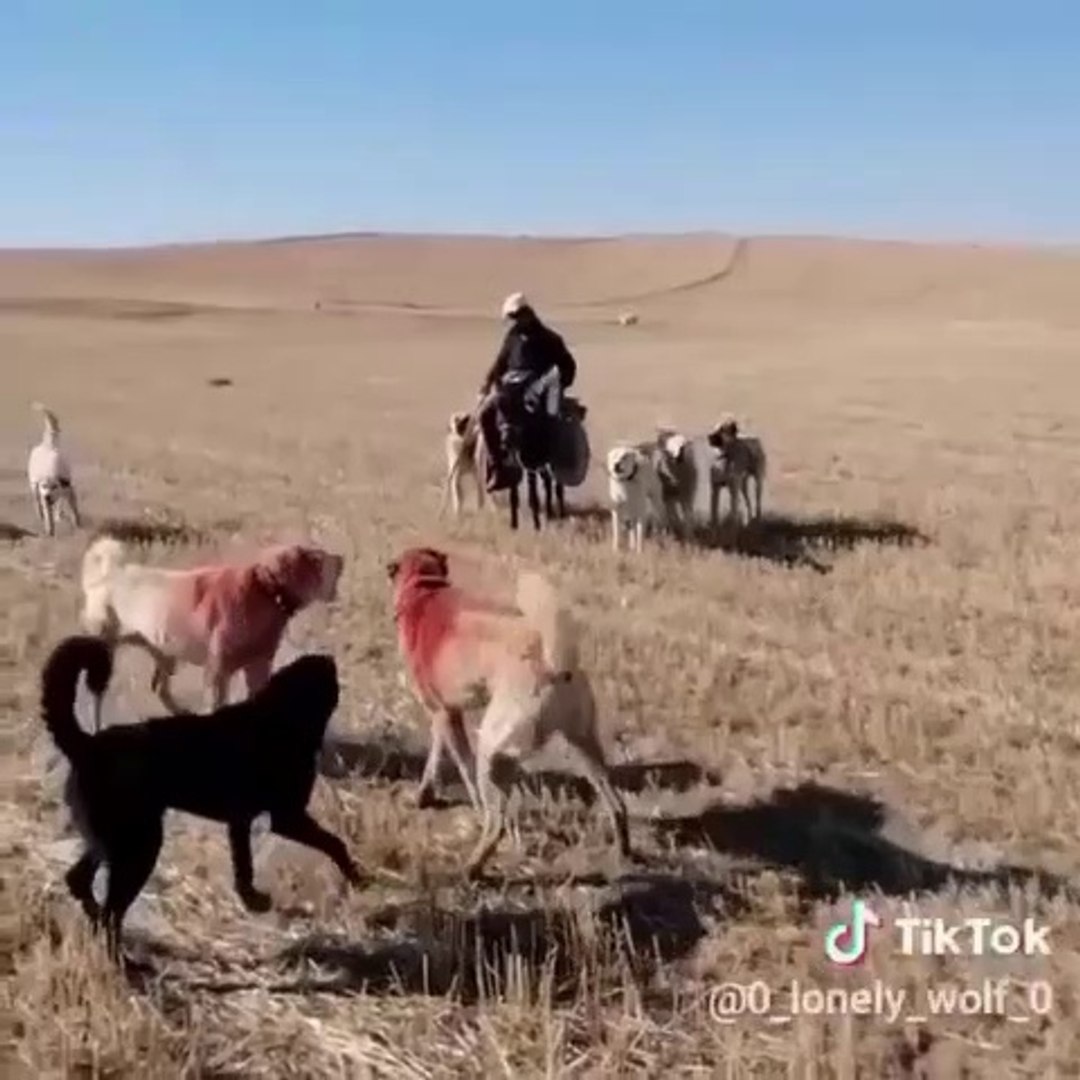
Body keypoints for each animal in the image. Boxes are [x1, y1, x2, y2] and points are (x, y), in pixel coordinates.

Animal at [27, 403, 81, 537]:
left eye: (54, 486)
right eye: (44, 486)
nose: (47, 496)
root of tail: (47, 444)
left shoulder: (69, 490)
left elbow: (74, 510)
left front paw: (77, 523)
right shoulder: (43, 494)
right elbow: (49, 517)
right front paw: (50, 530)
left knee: (59, 503)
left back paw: (59, 513)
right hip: (33, 486)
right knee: (37, 501)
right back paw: (41, 513)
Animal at [41, 635, 362, 959]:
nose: (328, 660)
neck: (279, 717)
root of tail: (86, 745)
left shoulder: (242, 820)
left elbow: (244, 865)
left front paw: (252, 900)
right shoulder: (286, 816)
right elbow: (334, 843)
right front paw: (357, 877)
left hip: (113, 839)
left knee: (79, 882)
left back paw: (98, 926)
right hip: (137, 845)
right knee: (111, 911)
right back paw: (119, 957)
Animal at [82, 531, 343, 725]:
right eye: (316, 558)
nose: (342, 559)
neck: (264, 591)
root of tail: (109, 573)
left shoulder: (257, 666)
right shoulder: (217, 672)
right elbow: (215, 705)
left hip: (166, 652)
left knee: (159, 688)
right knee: (96, 699)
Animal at [386, 548, 630, 876]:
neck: (425, 591)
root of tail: (552, 664)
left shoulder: (446, 716)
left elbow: (463, 768)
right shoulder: (445, 713)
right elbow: (435, 755)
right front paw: (425, 793)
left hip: (491, 747)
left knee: (497, 821)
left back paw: (473, 866)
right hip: (582, 748)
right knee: (616, 803)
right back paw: (623, 854)